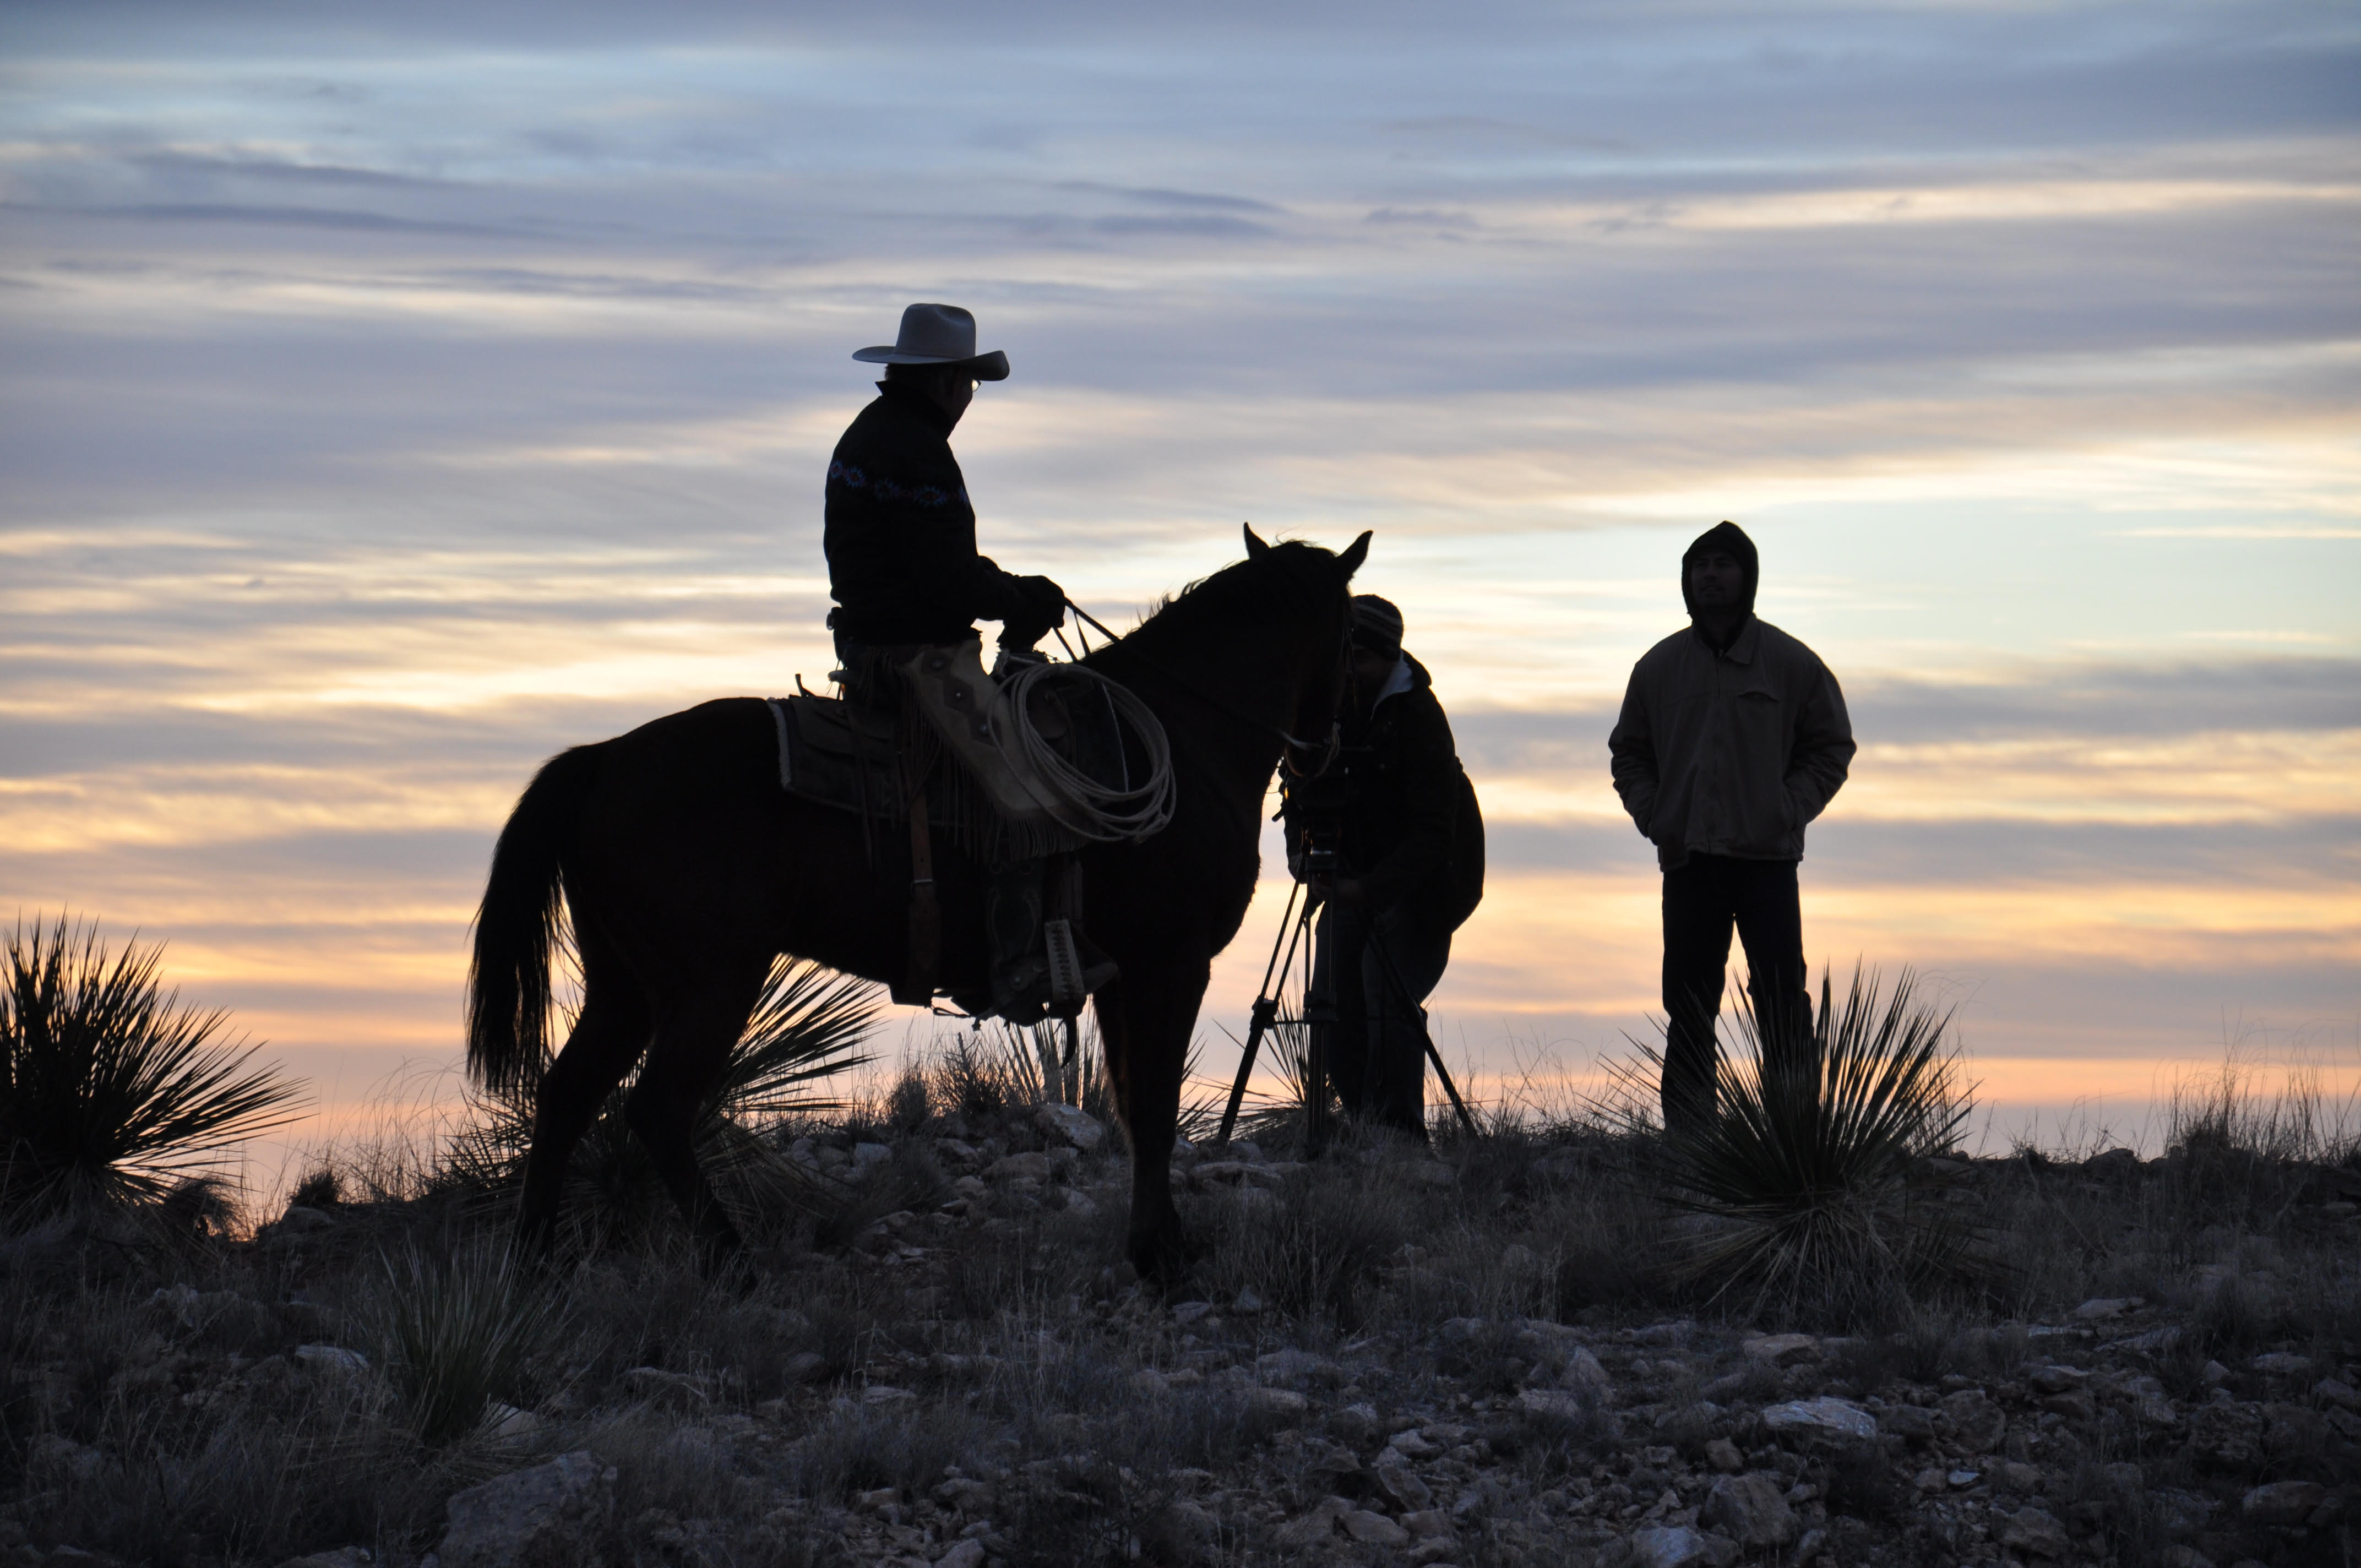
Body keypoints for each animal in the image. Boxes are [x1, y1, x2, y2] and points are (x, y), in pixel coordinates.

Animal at [460, 519, 1369, 1284]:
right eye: (1358, 639)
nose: (1329, 758)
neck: (1184, 735)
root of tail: (601, 759)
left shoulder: (1122, 975)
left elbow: (1133, 1102)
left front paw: (1154, 1245)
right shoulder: (1169, 966)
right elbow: (1153, 1105)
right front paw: (1162, 1254)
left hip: (625, 988)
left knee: (567, 1094)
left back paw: (533, 1264)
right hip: (709, 983)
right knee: (656, 1108)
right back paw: (733, 1264)